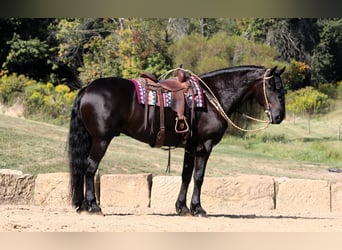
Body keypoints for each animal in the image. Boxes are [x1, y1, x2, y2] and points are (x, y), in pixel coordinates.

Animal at [67, 65, 286, 216]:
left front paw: (182, 208)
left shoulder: (190, 147)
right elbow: (199, 176)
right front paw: (198, 208)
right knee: (90, 168)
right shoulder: (204, 146)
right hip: (101, 140)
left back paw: (84, 205)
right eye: (271, 86)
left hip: (92, 139)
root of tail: (87, 89)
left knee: (84, 168)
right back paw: (94, 206)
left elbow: (186, 176)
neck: (212, 96)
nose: (279, 116)